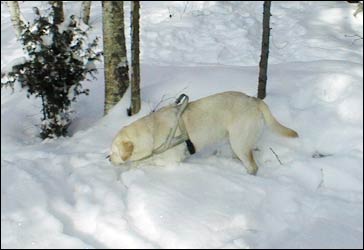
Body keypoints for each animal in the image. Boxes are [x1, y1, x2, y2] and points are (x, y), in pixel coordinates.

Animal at [109, 91, 298, 175]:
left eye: (114, 152)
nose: (108, 159)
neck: (152, 132)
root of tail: (253, 99)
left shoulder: (171, 160)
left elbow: (145, 163)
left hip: (239, 143)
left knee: (253, 166)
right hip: (236, 143)